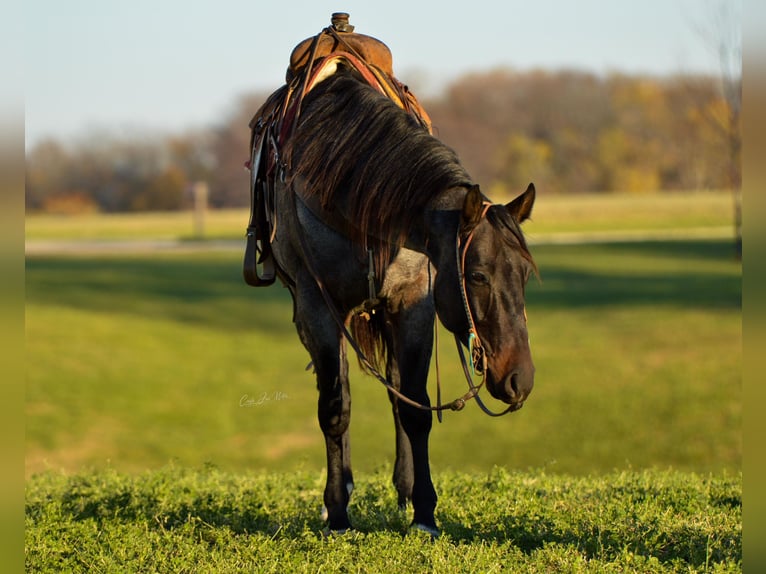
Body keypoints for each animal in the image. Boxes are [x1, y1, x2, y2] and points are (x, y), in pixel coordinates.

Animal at [246, 15, 540, 536]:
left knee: (398, 391)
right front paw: (337, 513)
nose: (519, 381)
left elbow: (413, 407)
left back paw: (401, 490)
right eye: (478, 276)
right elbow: (335, 409)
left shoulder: (413, 302)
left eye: (524, 275)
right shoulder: (318, 308)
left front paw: (424, 510)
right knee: (337, 390)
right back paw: (340, 494)